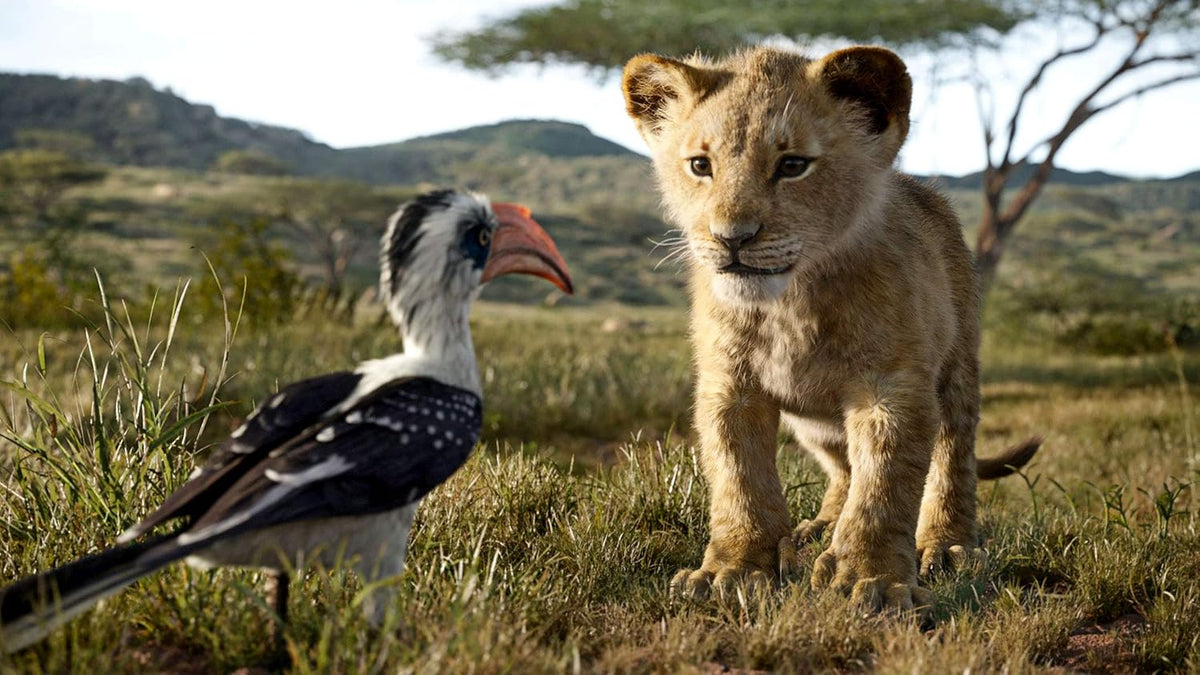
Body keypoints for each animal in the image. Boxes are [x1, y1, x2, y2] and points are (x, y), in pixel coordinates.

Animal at [621, 45, 1040, 611]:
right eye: (700, 166)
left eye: (793, 165)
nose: (732, 238)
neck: (789, 304)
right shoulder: (729, 387)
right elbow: (739, 479)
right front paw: (732, 570)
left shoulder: (891, 387)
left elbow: (884, 486)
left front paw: (873, 579)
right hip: (814, 423)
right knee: (843, 467)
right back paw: (817, 529)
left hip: (957, 369)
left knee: (953, 455)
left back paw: (948, 545)